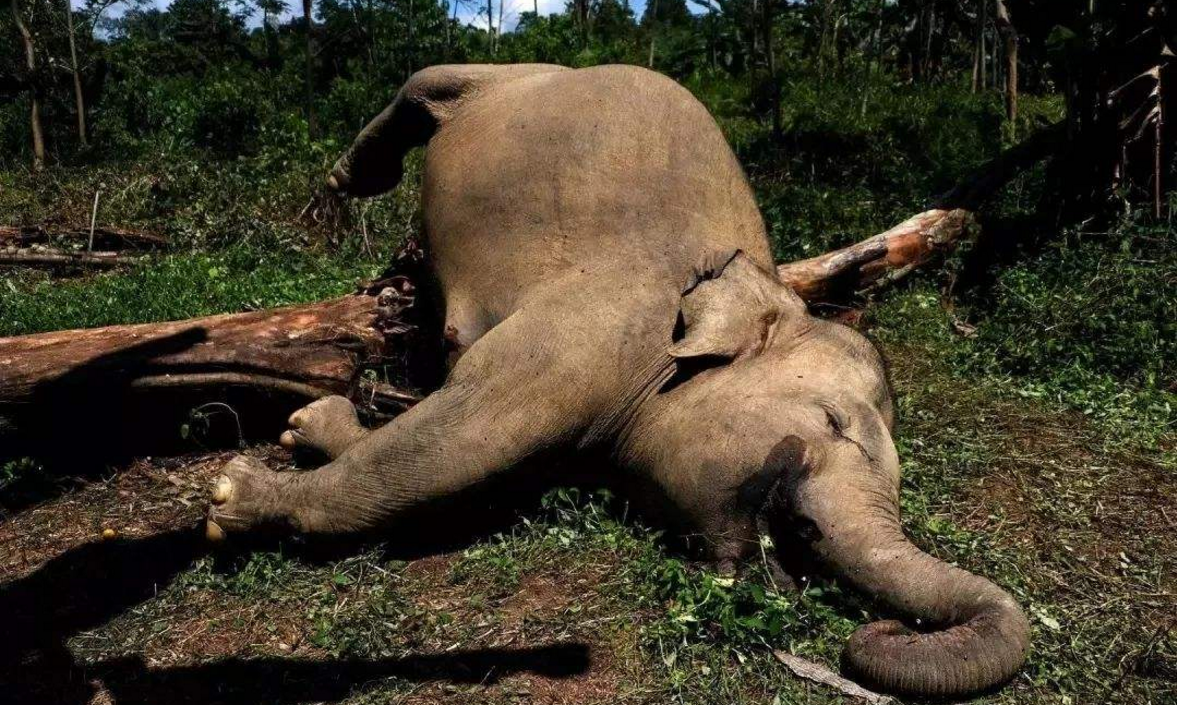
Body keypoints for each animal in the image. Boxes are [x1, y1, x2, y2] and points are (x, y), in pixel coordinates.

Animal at [205, 63, 1030, 697]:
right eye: (831, 421)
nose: (873, 626)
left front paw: (313, 426)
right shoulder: (590, 338)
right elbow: (445, 449)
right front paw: (234, 494)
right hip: (502, 77)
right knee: (428, 84)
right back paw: (350, 178)